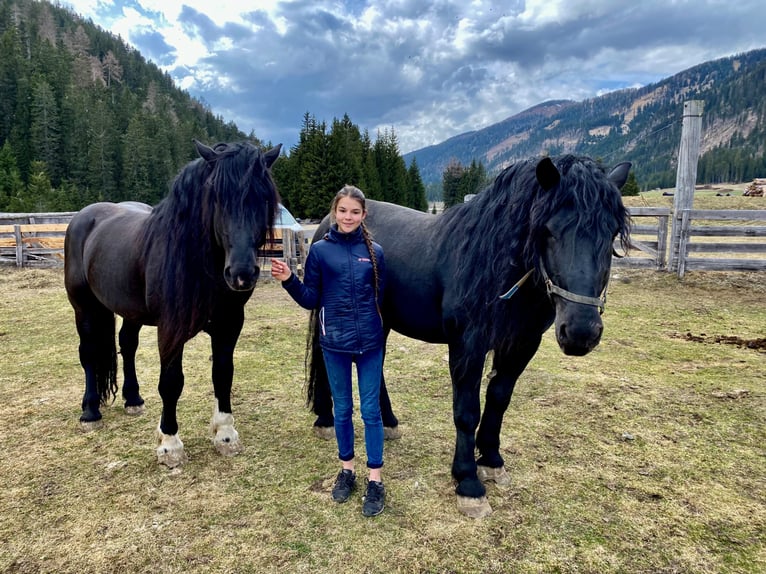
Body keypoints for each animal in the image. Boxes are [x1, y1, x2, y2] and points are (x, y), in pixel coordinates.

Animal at [65, 140, 282, 468]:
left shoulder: (229, 324)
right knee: (89, 353)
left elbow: (223, 374)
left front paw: (225, 435)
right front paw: (169, 444)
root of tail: (83, 217)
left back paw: (133, 399)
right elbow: (171, 382)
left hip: (131, 312)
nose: (242, 273)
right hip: (85, 308)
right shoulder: (170, 329)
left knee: (127, 344)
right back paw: (90, 412)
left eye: (264, 196)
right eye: (215, 196)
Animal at [308, 155, 636, 520]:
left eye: (611, 234)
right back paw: (325, 419)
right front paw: (468, 483)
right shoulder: (467, 345)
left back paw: (389, 422)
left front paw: (491, 460)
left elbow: (499, 400)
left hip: (383, 319)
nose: (581, 332)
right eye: (549, 231)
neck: (493, 264)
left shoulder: (521, 344)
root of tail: (329, 224)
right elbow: (466, 412)